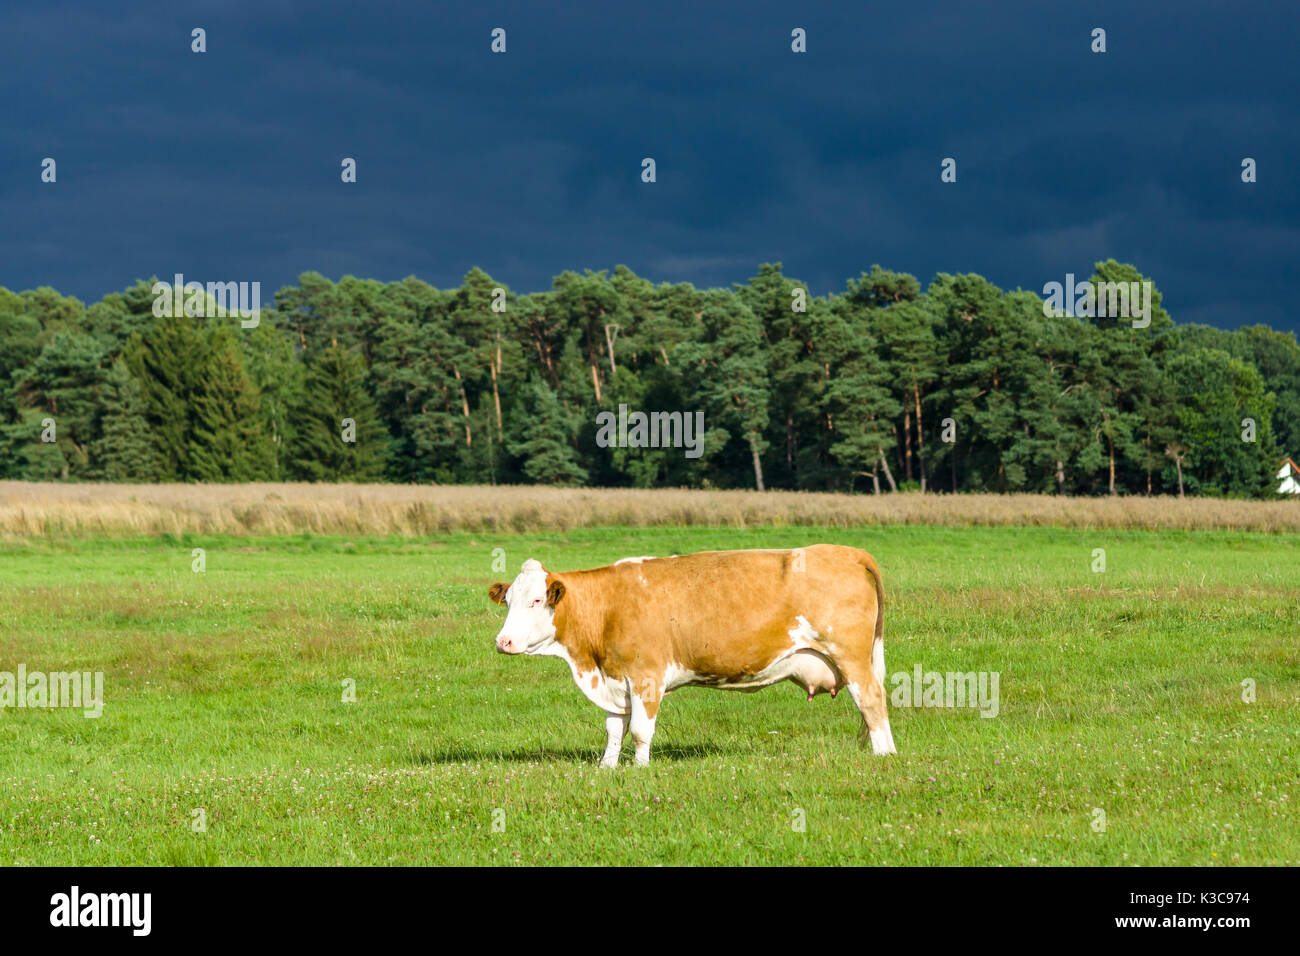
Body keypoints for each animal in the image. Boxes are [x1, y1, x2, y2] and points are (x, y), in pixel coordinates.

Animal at [486, 545, 895, 767]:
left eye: (536, 600)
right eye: (507, 600)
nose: (503, 641)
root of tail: (847, 552)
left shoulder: (646, 675)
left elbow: (640, 730)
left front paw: (640, 770)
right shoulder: (614, 678)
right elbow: (614, 728)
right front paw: (607, 767)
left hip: (852, 657)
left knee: (872, 701)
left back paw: (884, 756)